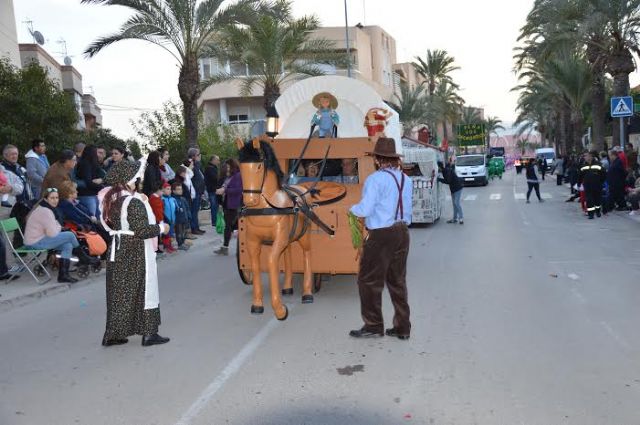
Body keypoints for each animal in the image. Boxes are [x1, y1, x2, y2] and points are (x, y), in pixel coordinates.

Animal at [235, 137, 344, 320]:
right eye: (240, 166)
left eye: (259, 166)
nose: (249, 200)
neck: (267, 208)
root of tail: (303, 189)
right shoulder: (252, 241)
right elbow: (256, 265)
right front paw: (257, 304)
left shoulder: (279, 238)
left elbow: (271, 261)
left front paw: (279, 309)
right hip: (289, 237)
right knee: (287, 254)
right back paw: (287, 287)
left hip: (304, 236)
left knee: (307, 254)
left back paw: (307, 293)